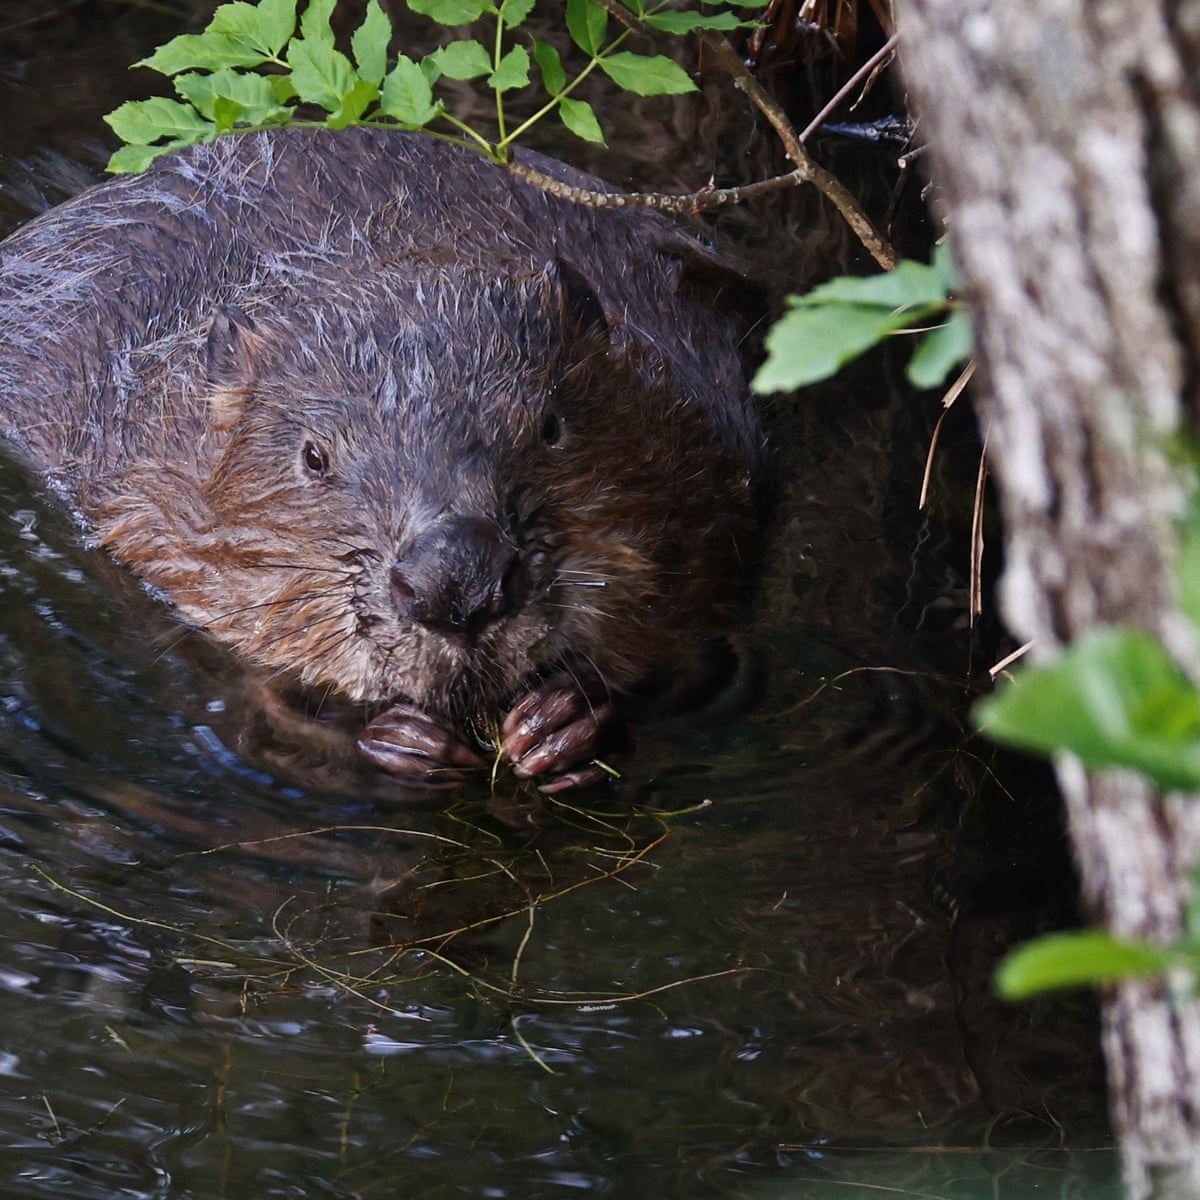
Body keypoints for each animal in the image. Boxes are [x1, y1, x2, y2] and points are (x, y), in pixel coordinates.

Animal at [0, 126, 763, 792]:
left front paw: (563, 722)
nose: (456, 583)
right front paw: (402, 741)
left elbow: (701, 655)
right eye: (314, 457)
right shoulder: (142, 490)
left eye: (550, 426)